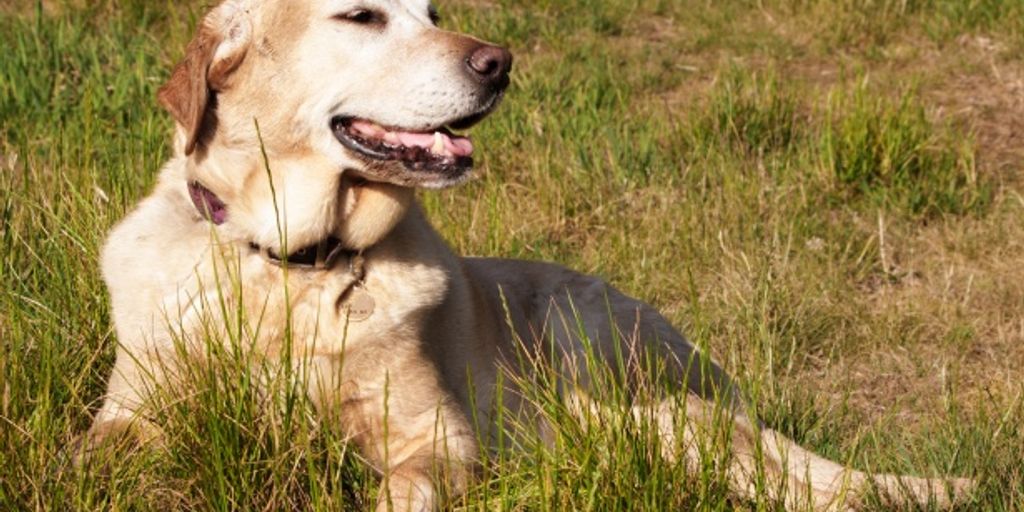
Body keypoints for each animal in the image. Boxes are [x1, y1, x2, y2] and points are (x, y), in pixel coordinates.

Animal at [83, 0, 970, 507]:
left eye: (431, 8)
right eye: (362, 15)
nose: (499, 63)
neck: (288, 263)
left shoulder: (437, 439)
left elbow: (404, 487)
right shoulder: (130, 410)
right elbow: (93, 457)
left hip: (591, 347)